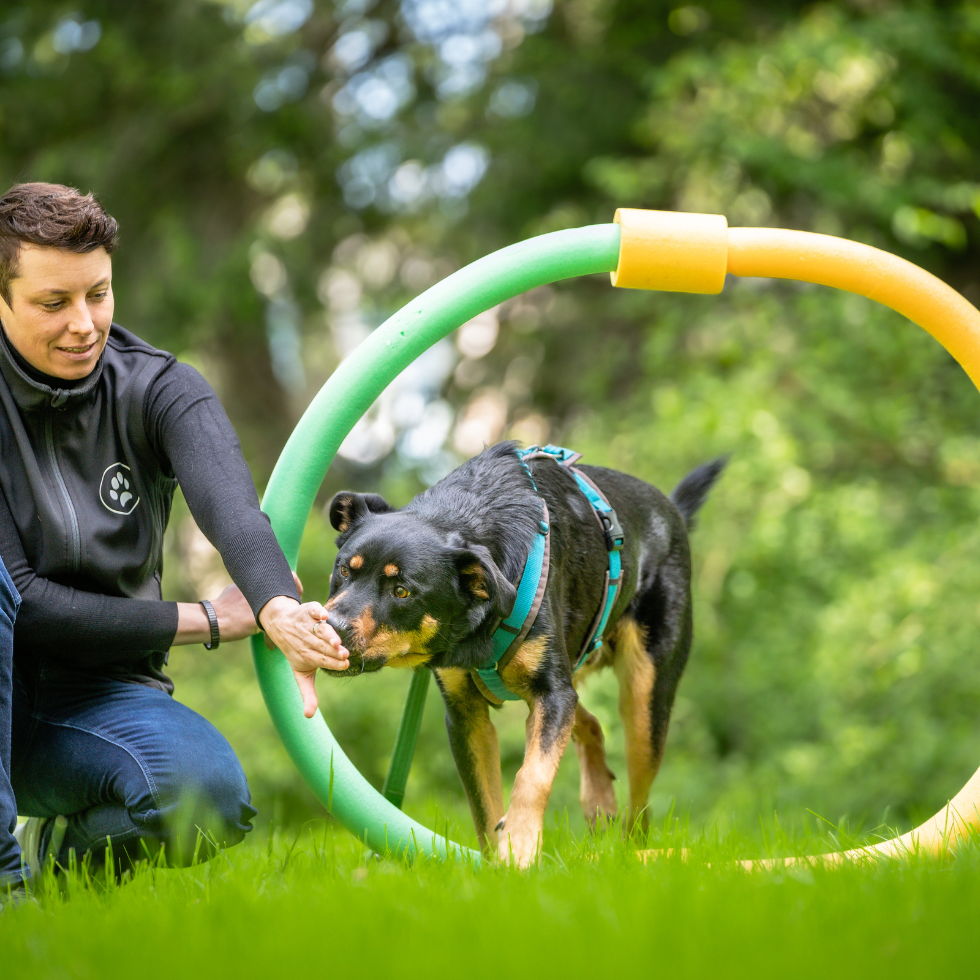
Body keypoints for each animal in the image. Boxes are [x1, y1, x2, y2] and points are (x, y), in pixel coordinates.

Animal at [326, 442, 724, 864]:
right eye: (344, 571)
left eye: (401, 591)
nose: (330, 625)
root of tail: (673, 511)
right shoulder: (467, 715)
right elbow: (484, 806)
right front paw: (497, 862)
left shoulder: (551, 693)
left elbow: (532, 775)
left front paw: (519, 848)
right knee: (590, 723)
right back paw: (599, 799)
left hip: (644, 696)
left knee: (640, 803)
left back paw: (630, 853)